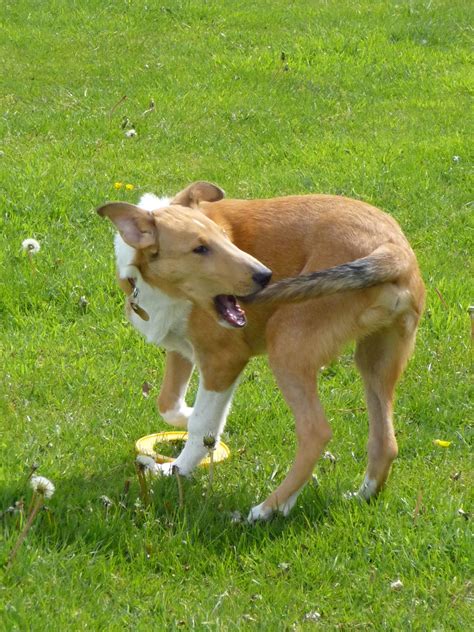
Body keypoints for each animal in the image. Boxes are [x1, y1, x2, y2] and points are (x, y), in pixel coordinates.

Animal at [98, 180, 424, 520]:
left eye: (224, 237)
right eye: (200, 248)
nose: (265, 276)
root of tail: (394, 249)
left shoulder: (223, 359)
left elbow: (202, 422)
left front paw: (180, 467)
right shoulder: (181, 350)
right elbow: (168, 403)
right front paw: (191, 428)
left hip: (287, 344)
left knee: (316, 432)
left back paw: (269, 508)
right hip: (377, 357)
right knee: (385, 442)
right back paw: (360, 496)